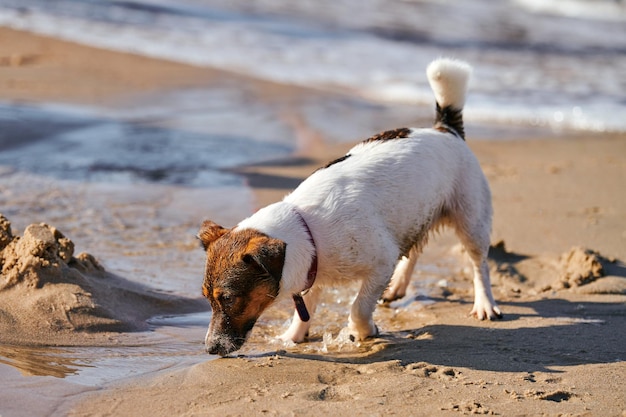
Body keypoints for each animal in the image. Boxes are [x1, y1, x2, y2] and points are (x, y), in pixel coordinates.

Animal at [197, 58, 500, 356]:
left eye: (228, 298)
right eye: (206, 298)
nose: (210, 348)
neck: (309, 230)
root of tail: (445, 129)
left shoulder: (381, 263)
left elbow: (359, 306)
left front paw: (363, 331)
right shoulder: (312, 274)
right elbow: (305, 311)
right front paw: (293, 336)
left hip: (471, 220)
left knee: (479, 265)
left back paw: (484, 304)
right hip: (414, 215)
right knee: (413, 251)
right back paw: (399, 287)